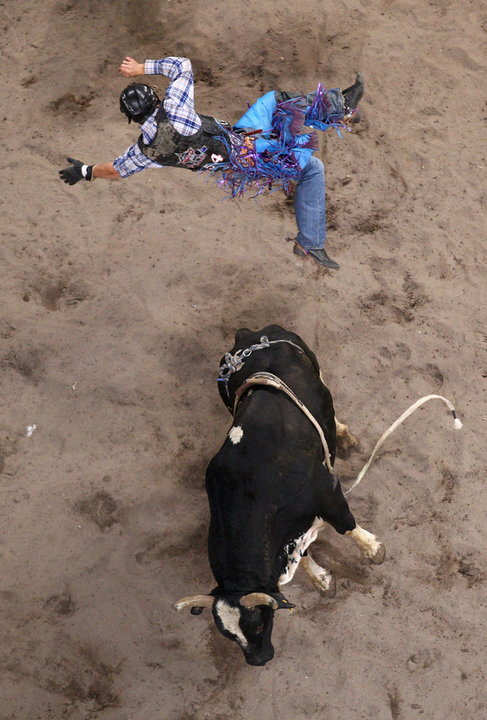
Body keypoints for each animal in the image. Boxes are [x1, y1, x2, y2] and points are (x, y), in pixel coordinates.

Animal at [174, 324, 386, 664]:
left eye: (258, 623)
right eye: (228, 635)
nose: (257, 661)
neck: (252, 487)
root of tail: (252, 334)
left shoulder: (327, 491)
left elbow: (346, 525)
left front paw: (372, 549)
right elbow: (303, 554)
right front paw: (321, 579)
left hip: (318, 372)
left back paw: (344, 435)